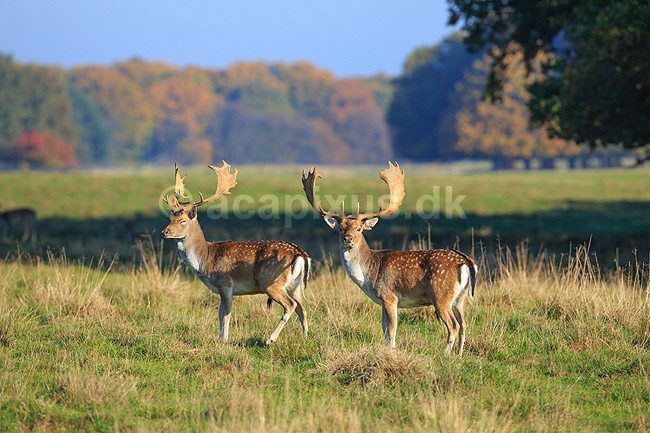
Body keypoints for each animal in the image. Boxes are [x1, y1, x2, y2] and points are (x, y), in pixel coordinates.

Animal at [162, 161, 310, 345]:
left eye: (183, 220)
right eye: (170, 219)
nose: (164, 232)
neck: (205, 260)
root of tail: (300, 254)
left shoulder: (225, 283)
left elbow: (224, 314)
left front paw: (223, 340)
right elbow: (222, 314)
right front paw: (222, 338)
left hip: (270, 281)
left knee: (290, 306)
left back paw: (270, 339)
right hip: (294, 286)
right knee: (302, 309)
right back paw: (305, 338)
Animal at [302, 162, 477, 356]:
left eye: (359, 229)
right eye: (340, 228)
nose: (348, 239)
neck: (368, 274)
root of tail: (467, 262)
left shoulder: (389, 295)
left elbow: (391, 330)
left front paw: (391, 351)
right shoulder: (382, 300)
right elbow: (384, 328)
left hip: (441, 294)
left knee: (453, 326)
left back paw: (445, 354)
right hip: (460, 298)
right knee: (463, 325)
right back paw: (459, 355)